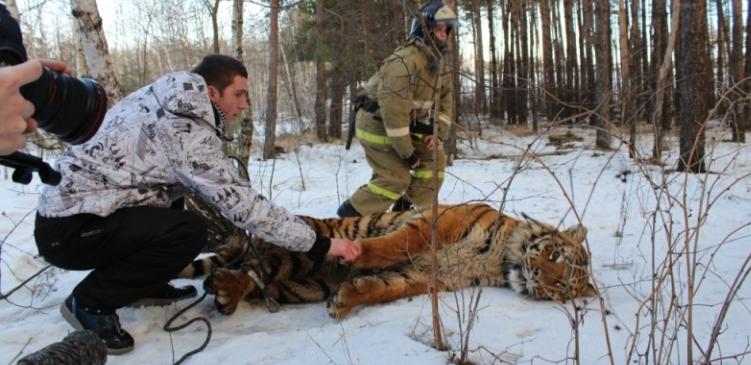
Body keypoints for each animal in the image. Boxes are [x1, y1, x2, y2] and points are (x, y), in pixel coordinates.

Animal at [179, 200, 596, 318]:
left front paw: (347, 299)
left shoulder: (430, 277)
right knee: (249, 265)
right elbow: (395, 242)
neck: (498, 259)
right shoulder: (436, 222)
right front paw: (357, 255)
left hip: (303, 281)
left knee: (254, 276)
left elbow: (387, 287)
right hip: (298, 248)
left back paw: (225, 291)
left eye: (560, 287)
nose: (537, 277)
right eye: (554, 255)